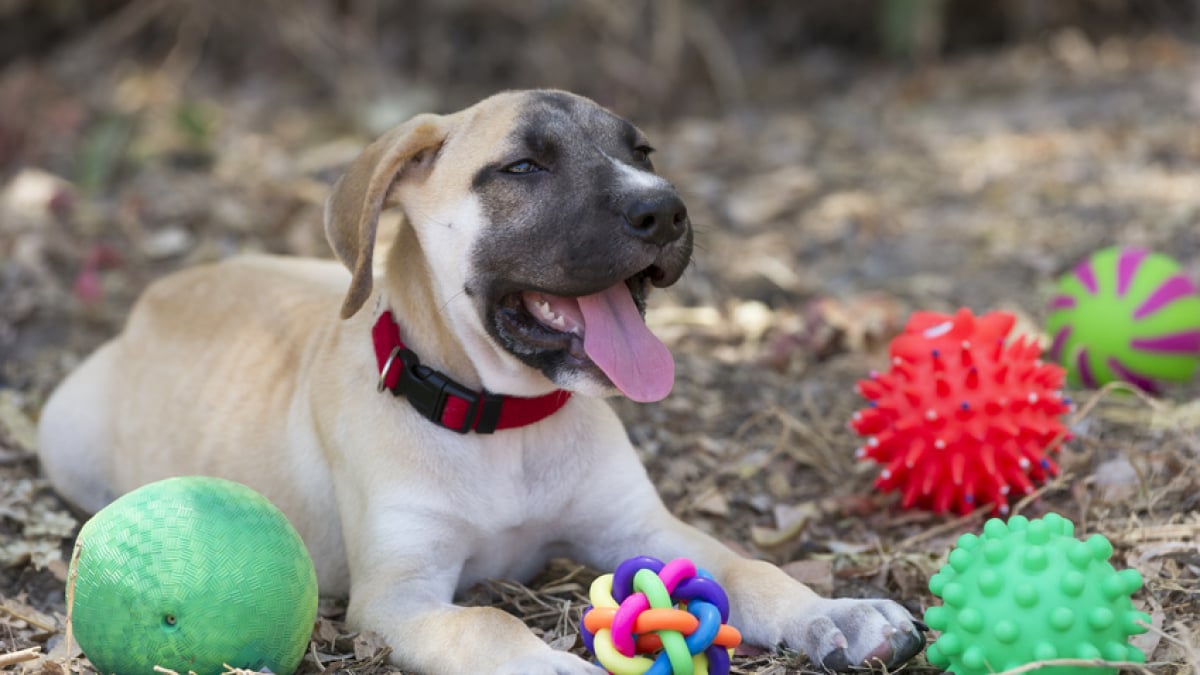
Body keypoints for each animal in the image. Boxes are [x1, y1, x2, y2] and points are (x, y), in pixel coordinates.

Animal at [35, 90, 916, 672]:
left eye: (643, 154)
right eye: (522, 167)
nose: (665, 211)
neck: (502, 419)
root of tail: (159, 292)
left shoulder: (644, 526)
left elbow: (745, 567)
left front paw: (835, 612)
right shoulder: (398, 599)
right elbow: (490, 627)